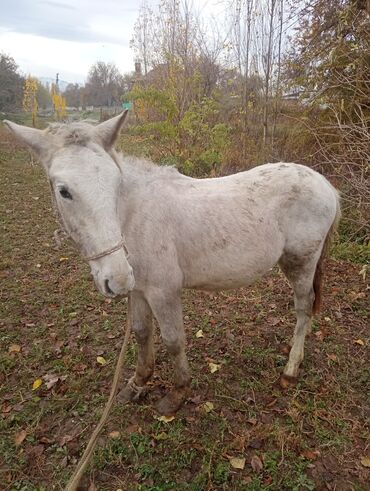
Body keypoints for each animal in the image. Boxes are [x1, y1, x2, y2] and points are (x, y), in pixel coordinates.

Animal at [5, 113, 342, 418]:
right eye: (64, 191)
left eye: (115, 184)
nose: (116, 278)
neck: (133, 217)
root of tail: (325, 185)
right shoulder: (138, 291)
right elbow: (142, 333)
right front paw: (138, 383)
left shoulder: (163, 292)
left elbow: (173, 341)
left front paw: (178, 394)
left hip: (301, 263)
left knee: (303, 308)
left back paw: (291, 369)